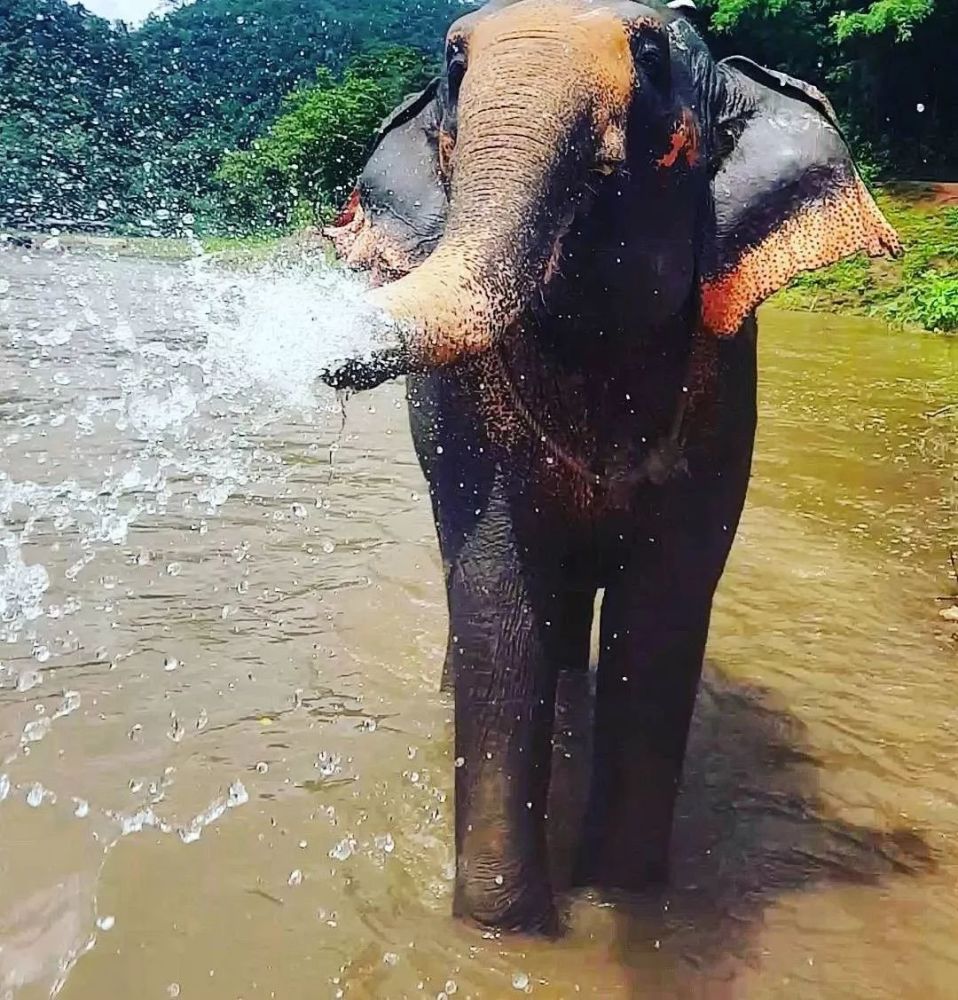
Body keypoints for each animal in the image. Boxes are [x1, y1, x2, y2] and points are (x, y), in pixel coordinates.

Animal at [320, 0, 900, 936]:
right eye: (453, 65)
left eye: (653, 53)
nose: (321, 356)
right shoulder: (466, 416)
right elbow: (499, 595)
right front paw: (505, 929)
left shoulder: (724, 388)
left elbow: (661, 609)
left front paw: (621, 897)